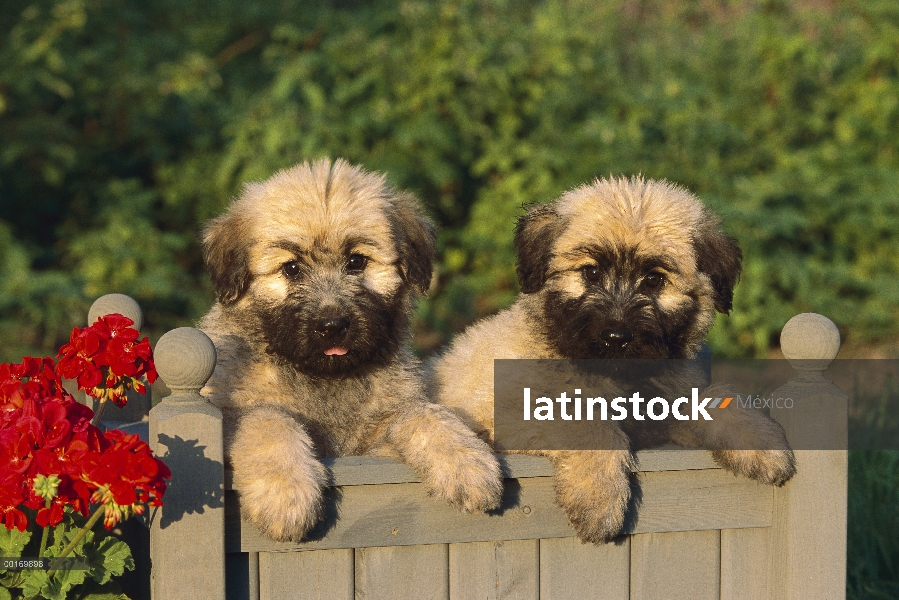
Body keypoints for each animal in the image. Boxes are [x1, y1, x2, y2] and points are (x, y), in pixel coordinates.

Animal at [199, 159, 506, 544]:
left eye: (357, 261)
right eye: (291, 269)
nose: (332, 325)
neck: (325, 379)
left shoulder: (374, 440)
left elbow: (422, 413)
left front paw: (468, 463)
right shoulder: (229, 413)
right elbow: (266, 419)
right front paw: (285, 493)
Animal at [432, 175, 800, 544]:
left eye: (654, 279)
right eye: (591, 272)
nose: (616, 337)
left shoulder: (663, 410)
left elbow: (718, 397)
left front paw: (761, 443)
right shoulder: (499, 408)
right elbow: (587, 422)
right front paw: (598, 500)